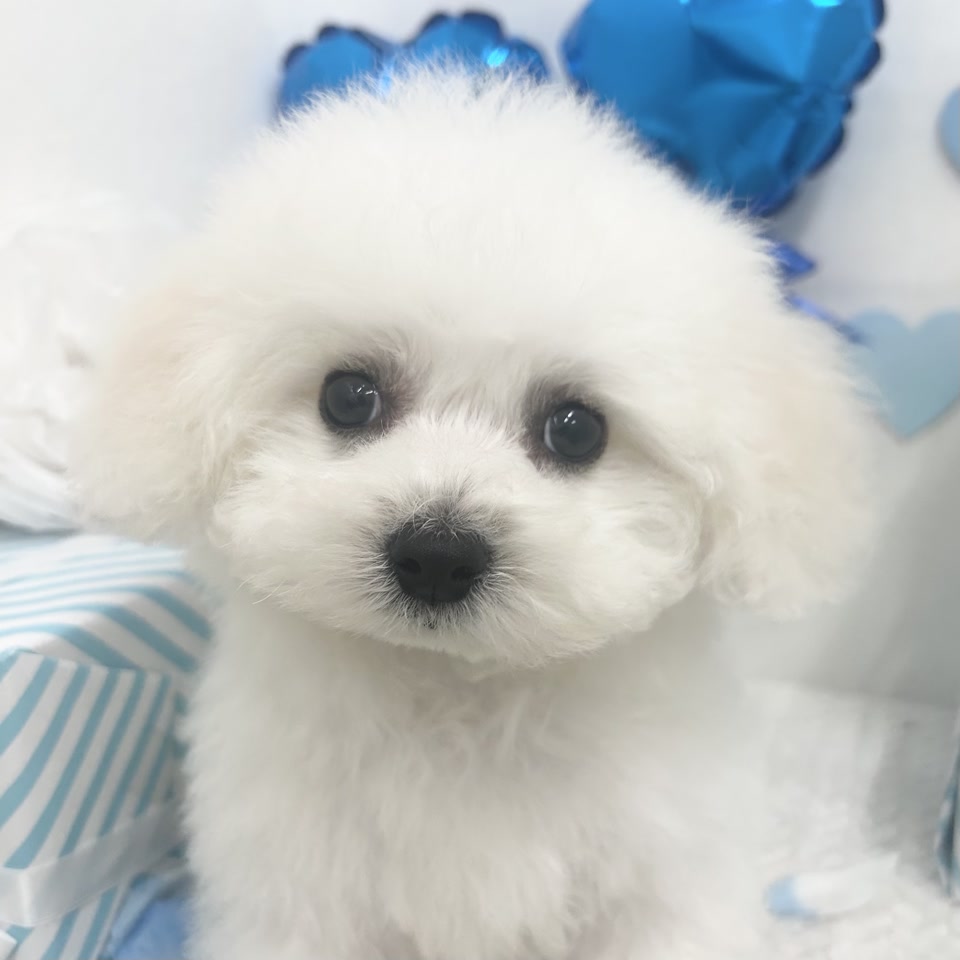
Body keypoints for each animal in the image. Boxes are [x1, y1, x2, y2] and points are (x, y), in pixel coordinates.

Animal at [76, 70, 872, 960]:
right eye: (348, 397)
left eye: (577, 429)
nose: (437, 553)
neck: (460, 689)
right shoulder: (295, 885)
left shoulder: (661, 880)